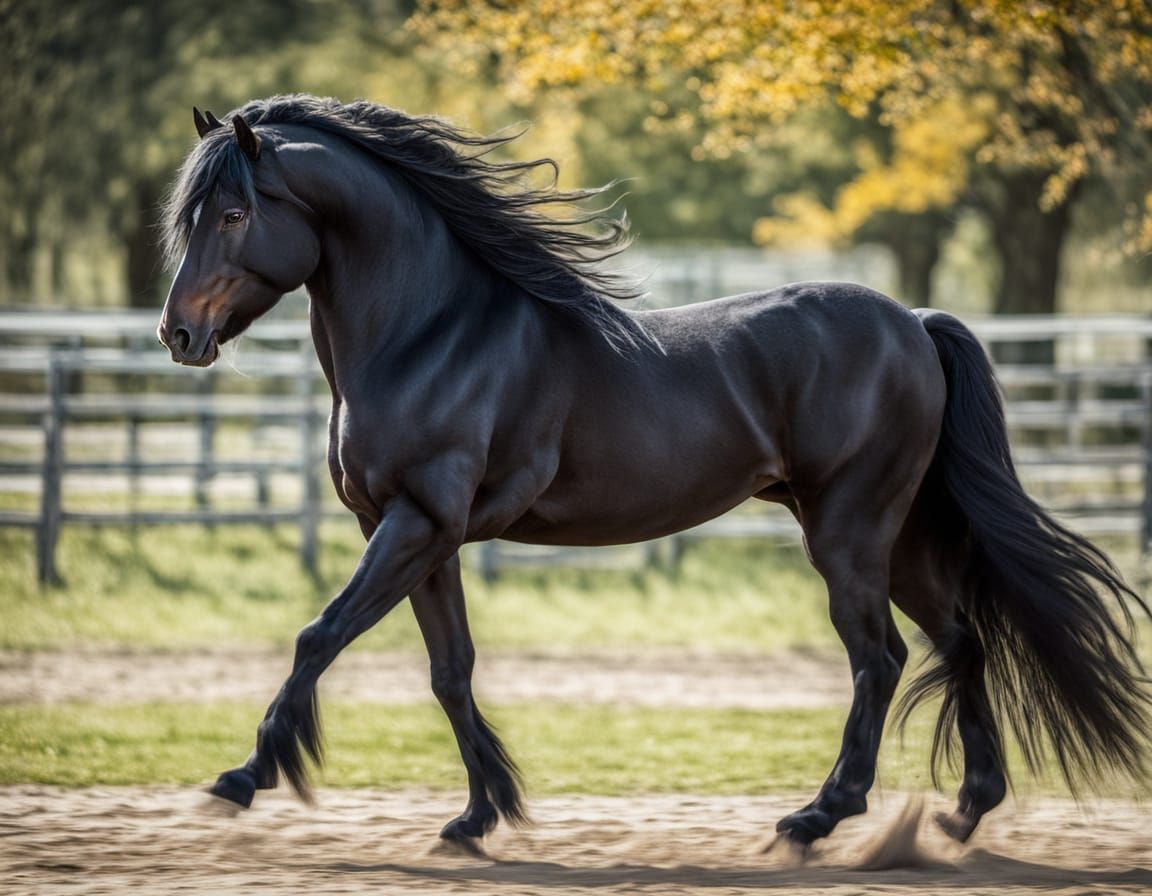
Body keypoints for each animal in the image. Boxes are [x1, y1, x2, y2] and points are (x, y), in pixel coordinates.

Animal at [157, 94, 1150, 849]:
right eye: (190, 215)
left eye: (234, 213)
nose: (177, 333)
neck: (433, 332)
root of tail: (912, 320)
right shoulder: (413, 533)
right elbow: (450, 670)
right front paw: (483, 813)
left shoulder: (419, 522)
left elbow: (318, 635)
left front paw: (245, 776)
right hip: (896, 536)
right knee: (958, 640)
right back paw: (966, 811)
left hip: (850, 532)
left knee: (882, 658)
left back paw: (818, 817)